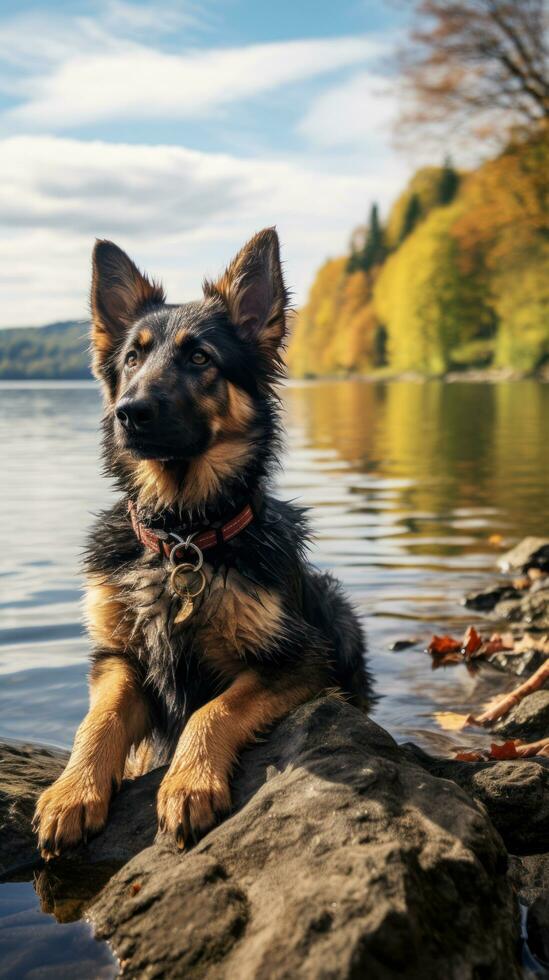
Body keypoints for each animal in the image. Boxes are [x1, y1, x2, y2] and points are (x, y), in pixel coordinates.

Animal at [33, 230, 368, 856]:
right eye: (133, 358)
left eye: (199, 358)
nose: (129, 413)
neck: (181, 536)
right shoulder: (120, 658)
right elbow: (97, 722)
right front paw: (73, 792)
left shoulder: (299, 660)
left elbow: (213, 709)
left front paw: (188, 784)